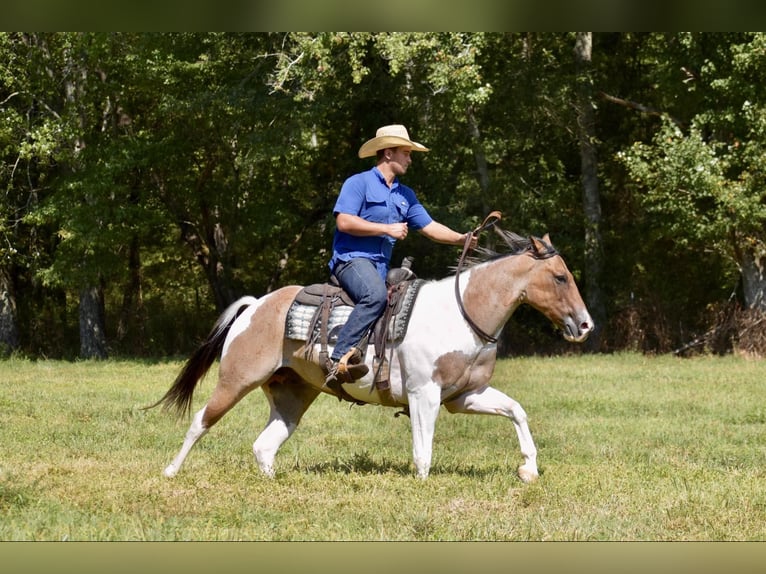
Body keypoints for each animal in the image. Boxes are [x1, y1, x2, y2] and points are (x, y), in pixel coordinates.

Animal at [148, 224, 592, 482]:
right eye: (559, 277)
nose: (585, 325)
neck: (461, 313)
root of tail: (257, 305)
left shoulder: (464, 396)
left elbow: (516, 410)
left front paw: (528, 468)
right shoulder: (423, 394)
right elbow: (423, 449)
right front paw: (422, 484)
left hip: (292, 394)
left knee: (265, 445)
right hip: (236, 379)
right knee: (200, 422)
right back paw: (170, 472)